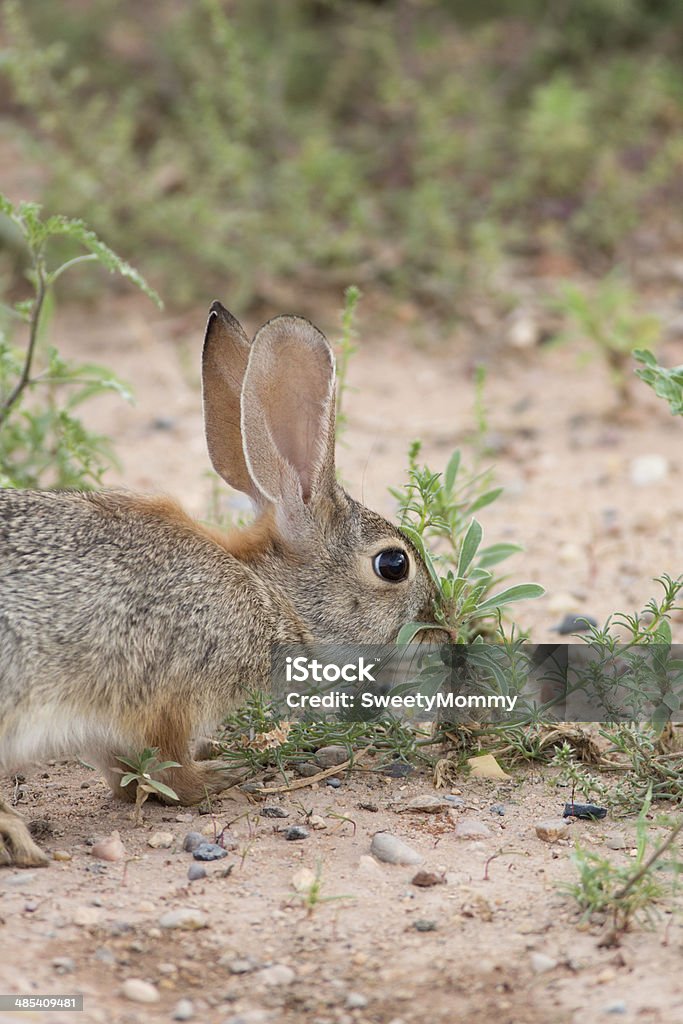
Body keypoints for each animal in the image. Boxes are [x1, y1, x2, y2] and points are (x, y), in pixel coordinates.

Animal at [0, 301, 438, 864]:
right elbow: (171, 777)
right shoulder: (169, 699)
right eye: (393, 565)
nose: (439, 628)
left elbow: (127, 779)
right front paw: (229, 773)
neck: (270, 597)